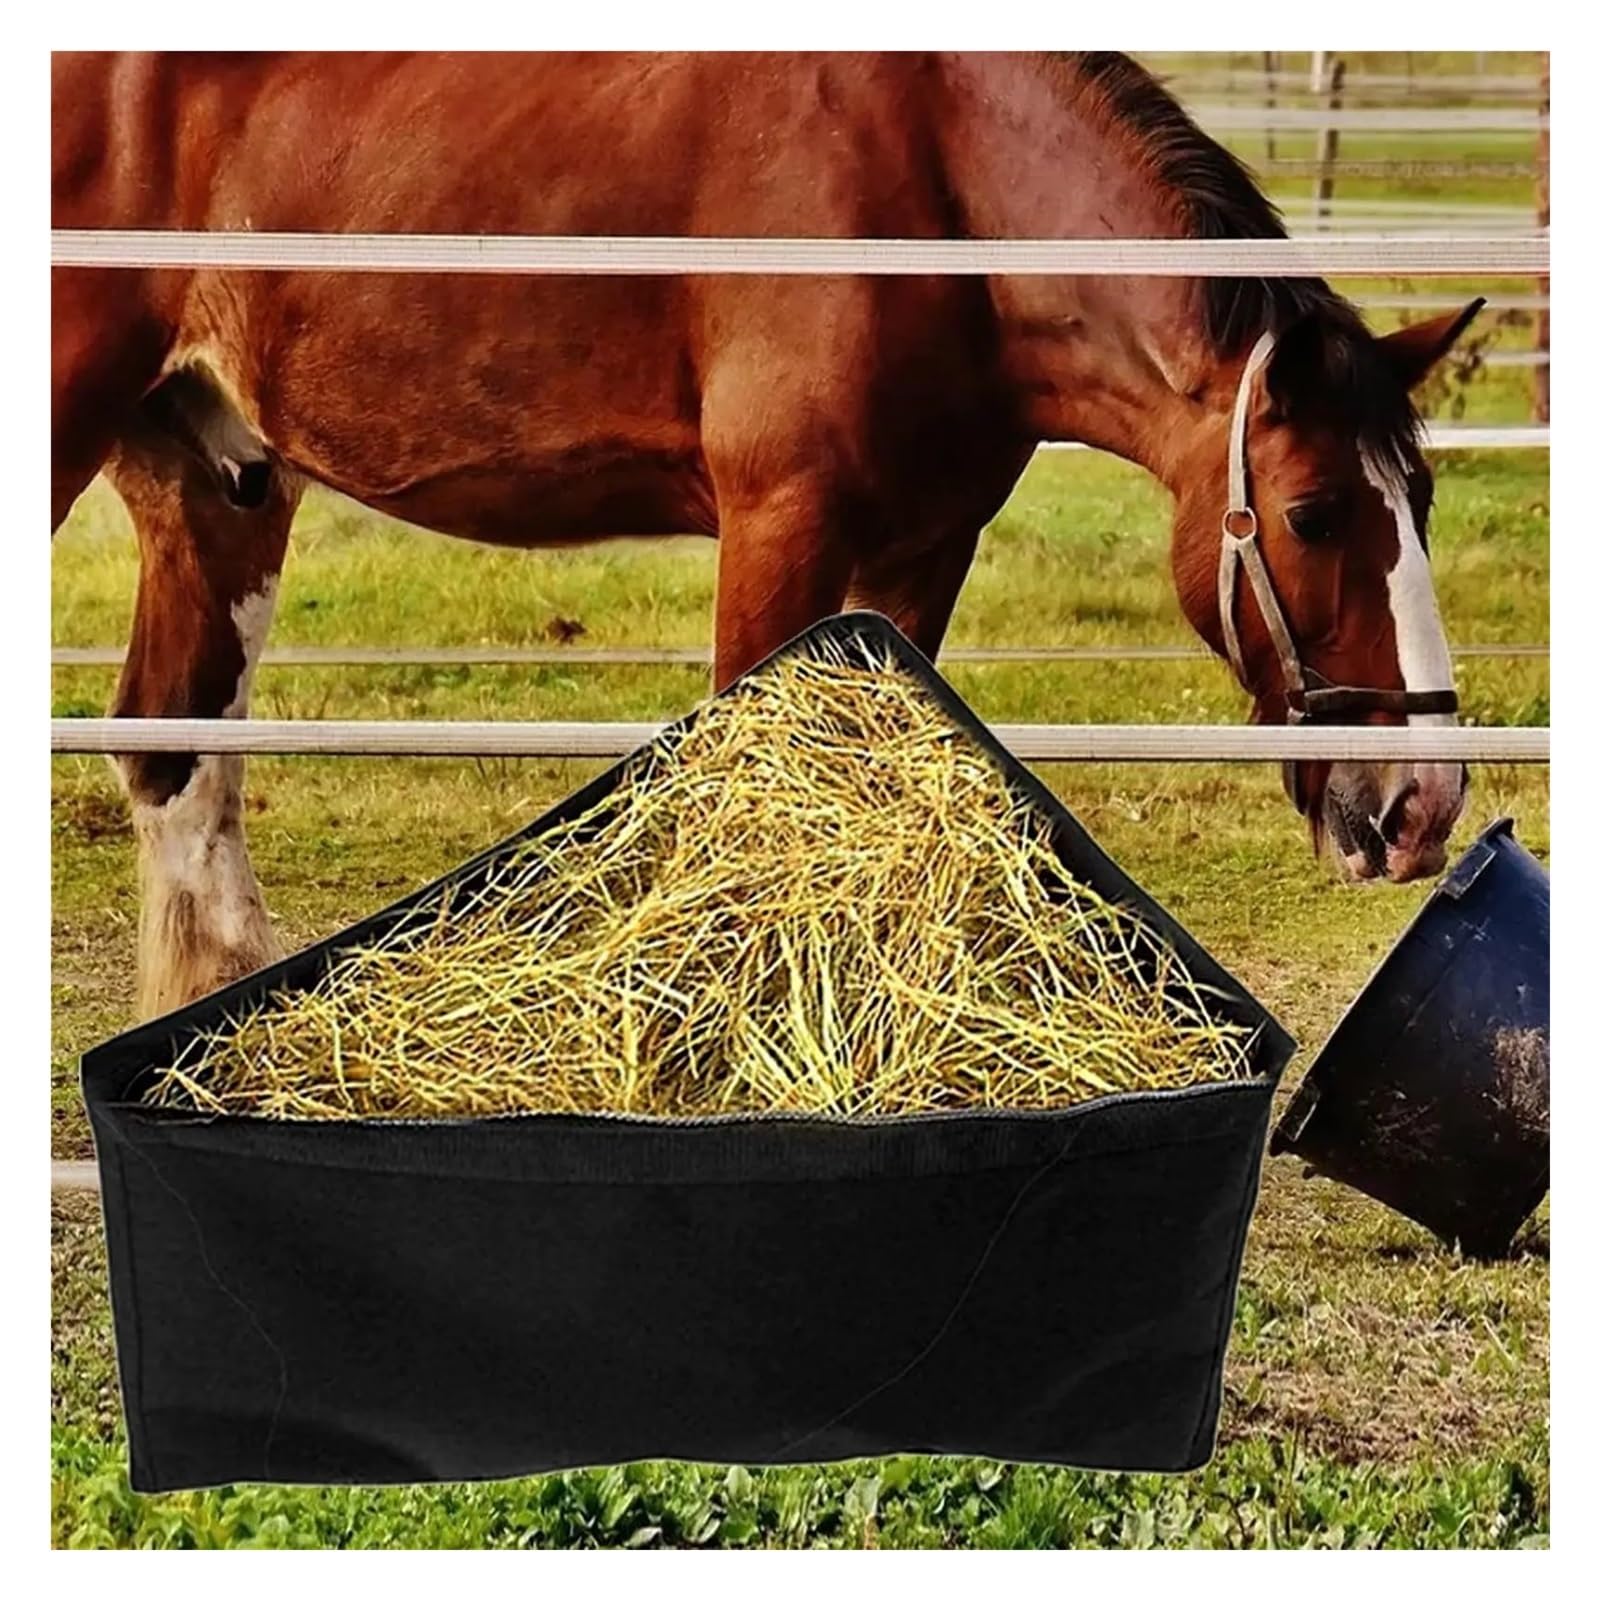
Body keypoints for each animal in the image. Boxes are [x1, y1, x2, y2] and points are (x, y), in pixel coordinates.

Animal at [52, 51, 1482, 1019]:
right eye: (1310, 513)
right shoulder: (780, 525)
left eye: (1419, 503)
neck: (939, 199)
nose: (1420, 803)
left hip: (218, 482)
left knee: (176, 759)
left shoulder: (920, 550)